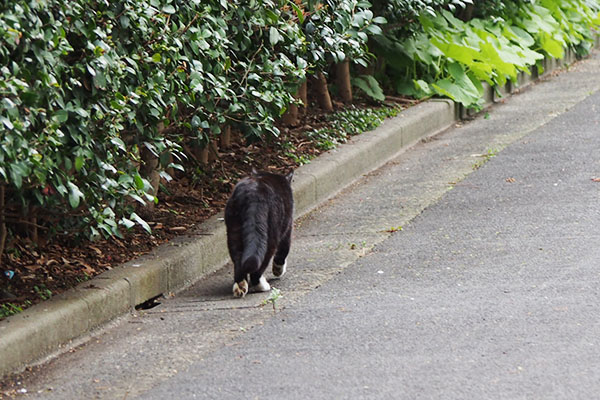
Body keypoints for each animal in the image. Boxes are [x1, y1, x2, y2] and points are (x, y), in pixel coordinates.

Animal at [224, 168, 294, 296]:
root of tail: (253, 194)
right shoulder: (288, 225)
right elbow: (284, 249)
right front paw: (278, 270)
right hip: (272, 234)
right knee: (262, 260)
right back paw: (261, 285)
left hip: (233, 229)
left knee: (238, 257)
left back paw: (240, 286)